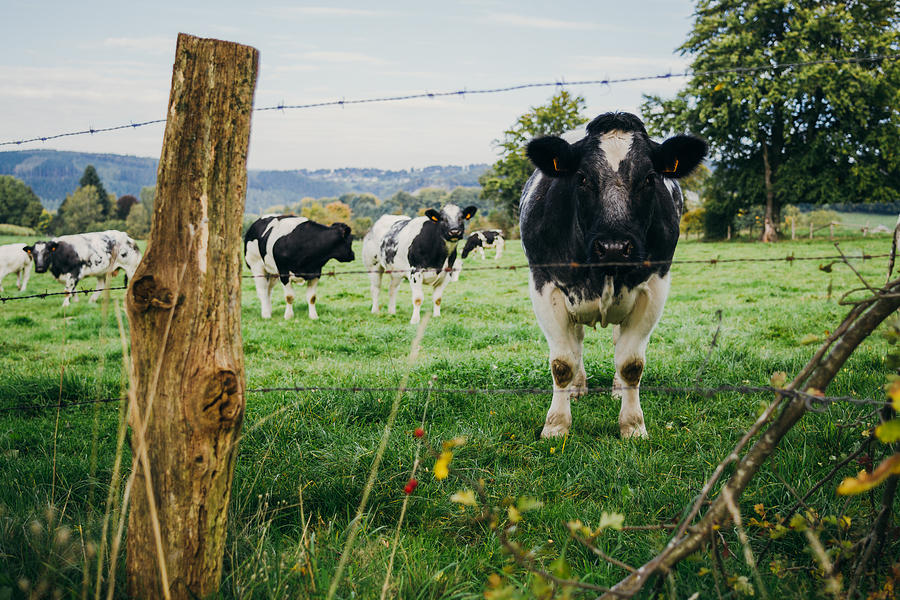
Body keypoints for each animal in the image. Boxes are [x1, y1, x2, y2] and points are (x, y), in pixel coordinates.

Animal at [520, 112, 712, 438]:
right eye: (582, 178)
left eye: (649, 178)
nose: (613, 247)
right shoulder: (545, 287)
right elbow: (562, 363)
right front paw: (556, 426)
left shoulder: (654, 287)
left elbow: (631, 363)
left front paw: (633, 425)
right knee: (577, 341)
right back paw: (578, 387)